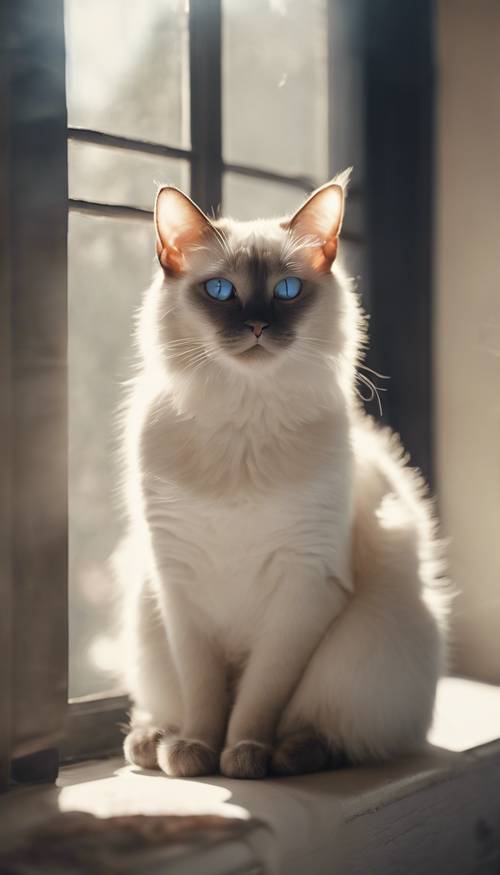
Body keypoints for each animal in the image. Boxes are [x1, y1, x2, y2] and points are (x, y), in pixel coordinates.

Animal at [116, 173, 446, 780]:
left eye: (288, 290)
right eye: (220, 291)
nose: (256, 325)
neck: (242, 426)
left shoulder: (303, 587)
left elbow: (257, 698)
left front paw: (241, 757)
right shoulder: (179, 584)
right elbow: (204, 695)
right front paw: (196, 753)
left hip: (362, 649)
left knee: (336, 732)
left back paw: (290, 754)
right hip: (146, 621)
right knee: (165, 705)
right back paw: (155, 741)